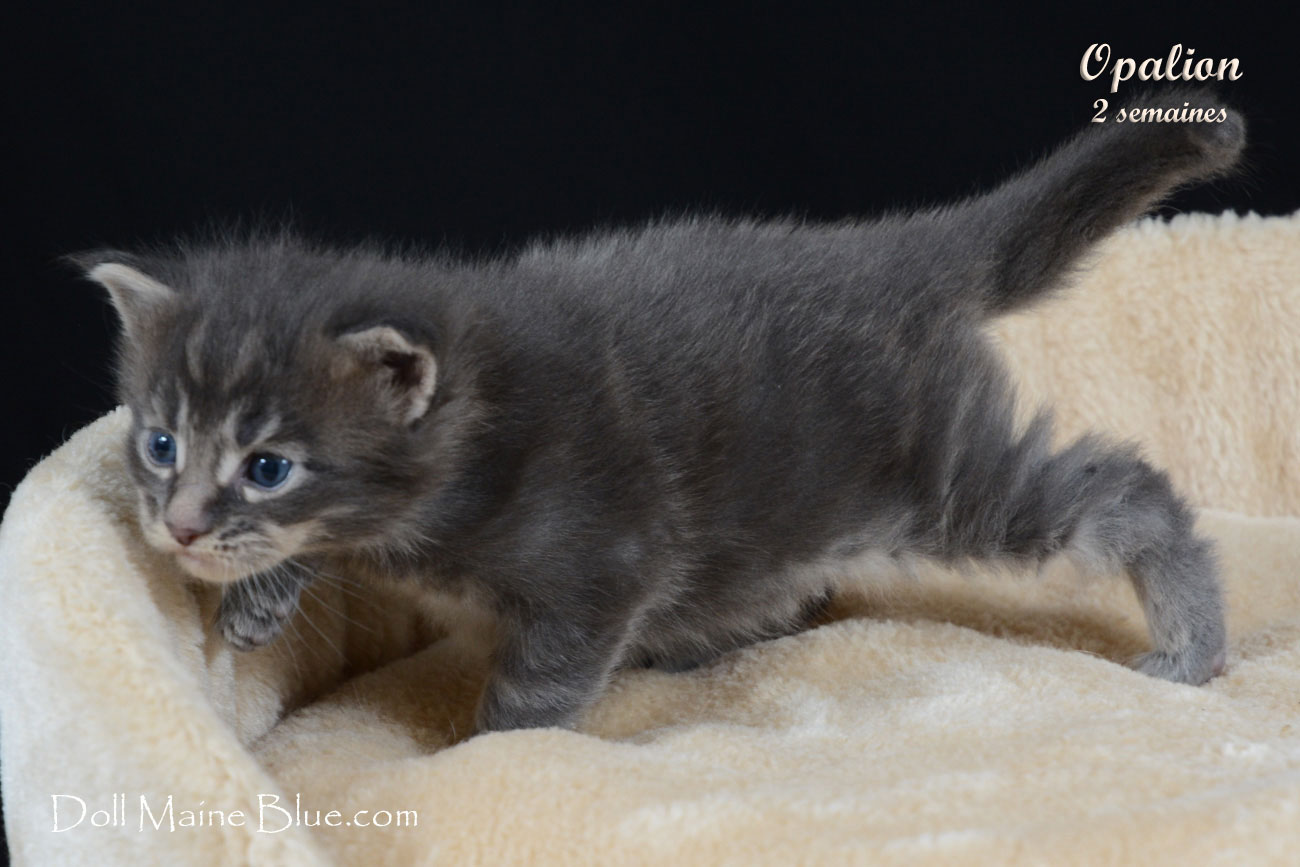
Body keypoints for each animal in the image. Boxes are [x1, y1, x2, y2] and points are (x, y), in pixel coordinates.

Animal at [76, 88, 1243, 734]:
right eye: (161, 443)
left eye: (268, 465)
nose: (177, 527)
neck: (473, 423)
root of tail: (879, 249)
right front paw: (263, 593)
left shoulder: (602, 562)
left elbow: (535, 690)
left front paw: (490, 753)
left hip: (937, 469)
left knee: (1121, 491)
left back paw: (1191, 644)